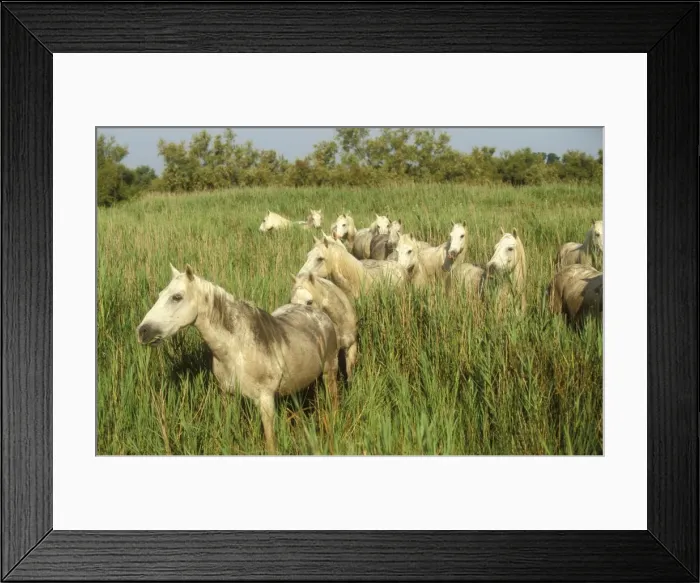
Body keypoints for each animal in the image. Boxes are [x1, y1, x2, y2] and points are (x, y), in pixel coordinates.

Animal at [136, 263, 339, 454]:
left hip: (329, 372)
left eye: (177, 297)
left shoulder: (265, 400)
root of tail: (320, 314)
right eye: (161, 294)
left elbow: (270, 442)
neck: (237, 350)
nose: (142, 331)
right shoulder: (228, 394)